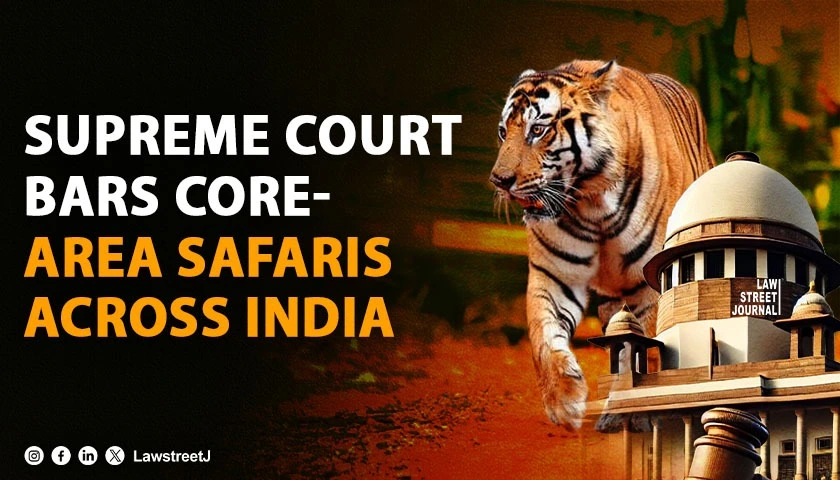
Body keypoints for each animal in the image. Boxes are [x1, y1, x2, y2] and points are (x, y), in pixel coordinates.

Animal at [491, 60, 714, 429]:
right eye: (502, 132)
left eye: (538, 130)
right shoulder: (554, 276)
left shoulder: (651, 284)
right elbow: (544, 337)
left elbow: (644, 351)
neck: (591, 202)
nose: (499, 180)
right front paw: (564, 402)